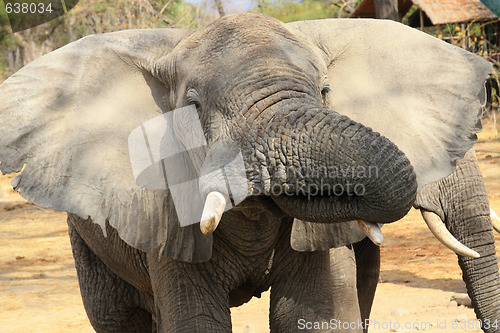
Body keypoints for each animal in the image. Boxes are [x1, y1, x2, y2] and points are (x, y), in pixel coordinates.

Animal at [0, 13, 492, 332]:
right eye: (193, 106)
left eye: (324, 91)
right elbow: (196, 319)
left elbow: (314, 312)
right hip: (86, 239)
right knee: (117, 317)